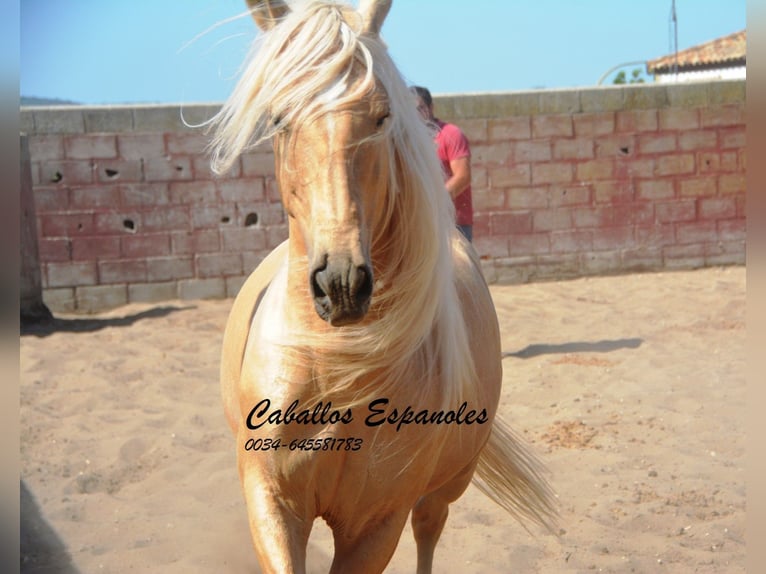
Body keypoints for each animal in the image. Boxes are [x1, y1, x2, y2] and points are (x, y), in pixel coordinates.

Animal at [214, 1, 560, 572]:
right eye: (279, 118)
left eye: (381, 116)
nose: (340, 283)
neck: (334, 367)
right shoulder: (271, 502)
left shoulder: (376, 525)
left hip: (444, 490)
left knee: (429, 533)